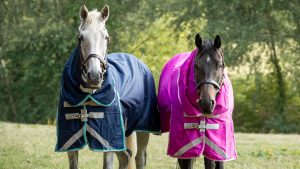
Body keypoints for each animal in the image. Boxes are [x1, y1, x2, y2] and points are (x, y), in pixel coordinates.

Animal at [54, 4, 161, 169]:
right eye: (81, 37)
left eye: (106, 37)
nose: (94, 76)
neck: (88, 94)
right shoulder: (70, 141)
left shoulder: (108, 139)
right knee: (126, 157)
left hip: (144, 129)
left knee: (139, 158)